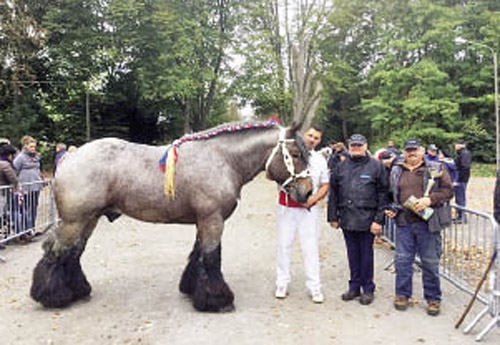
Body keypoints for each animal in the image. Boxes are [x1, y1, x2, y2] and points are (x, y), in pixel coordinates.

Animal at [30, 120, 312, 312]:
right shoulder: (213, 220)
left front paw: (191, 289)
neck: (222, 159)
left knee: (72, 254)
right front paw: (218, 300)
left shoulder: (203, 221)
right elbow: (211, 259)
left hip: (89, 219)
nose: (308, 191)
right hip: (75, 221)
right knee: (56, 253)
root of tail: (68, 159)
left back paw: (77, 291)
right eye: (296, 154)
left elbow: (198, 255)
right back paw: (52, 297)